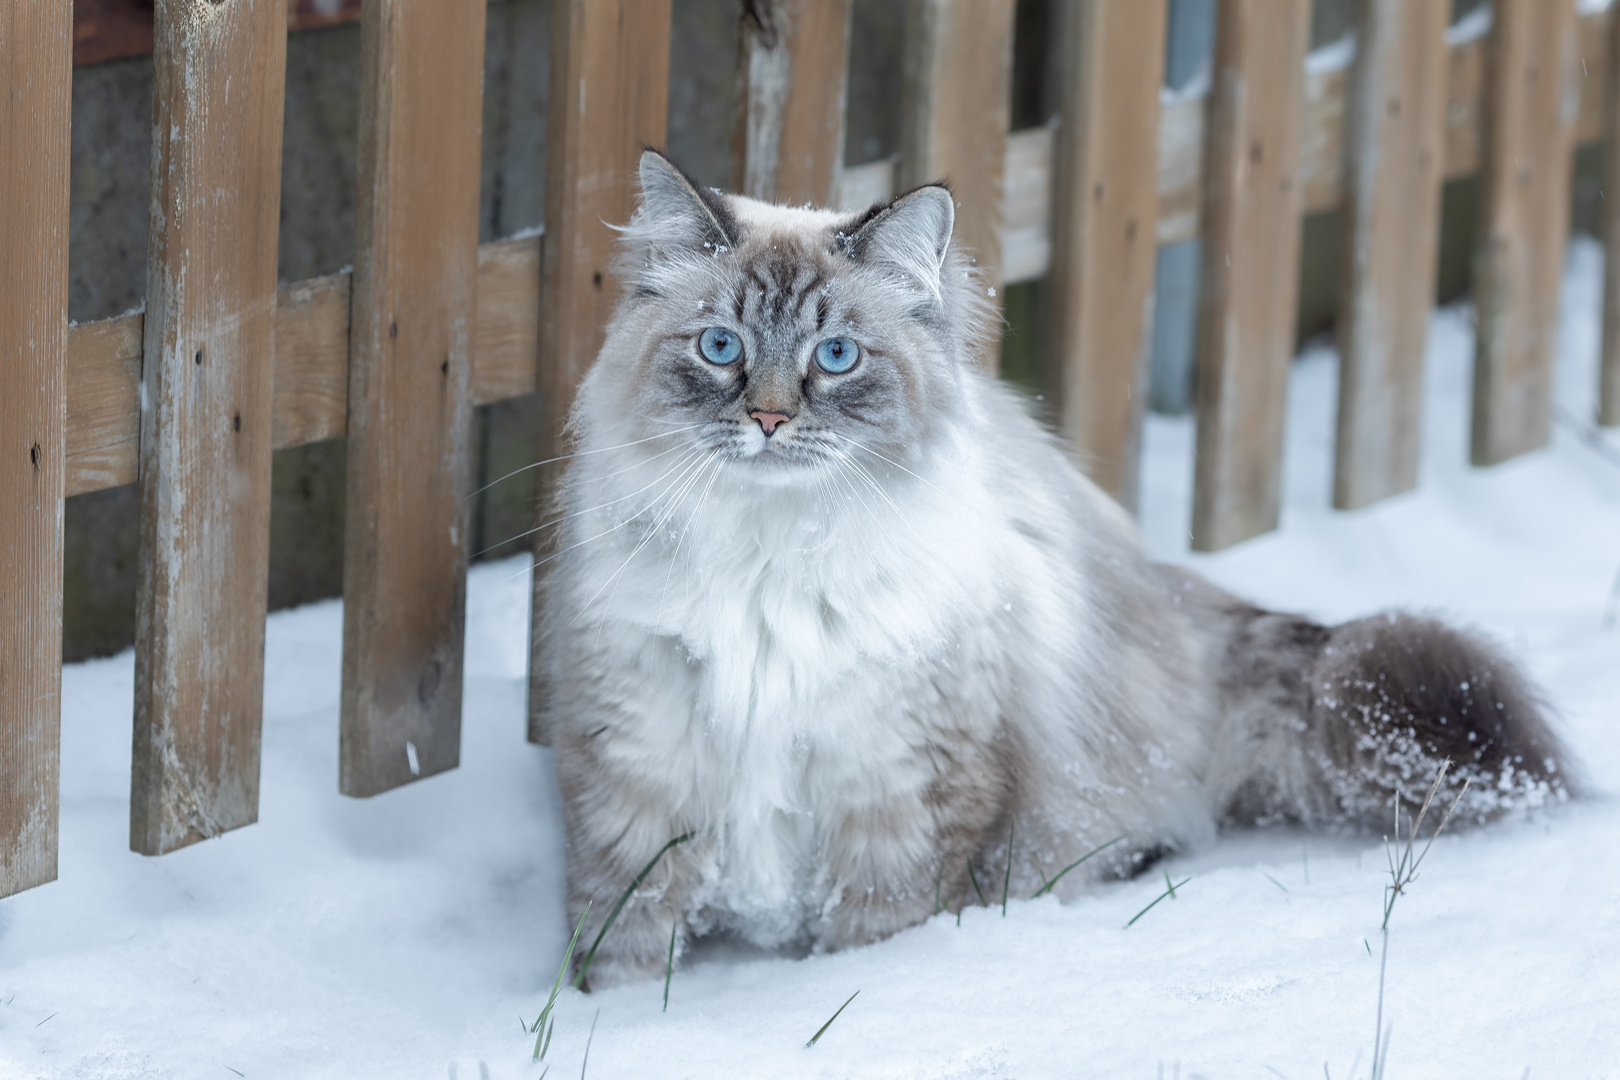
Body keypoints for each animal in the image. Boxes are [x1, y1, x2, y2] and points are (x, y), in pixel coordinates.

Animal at [537, 149, 1574, 990]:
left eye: (836, 357)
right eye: (722, 347)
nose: (768, 419)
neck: (768, 556)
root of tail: (1173, 594)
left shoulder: (903, 797)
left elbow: (870, 941)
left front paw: (849, 1004)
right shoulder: (631, 779)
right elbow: (623, 942)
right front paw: (616, 1026)